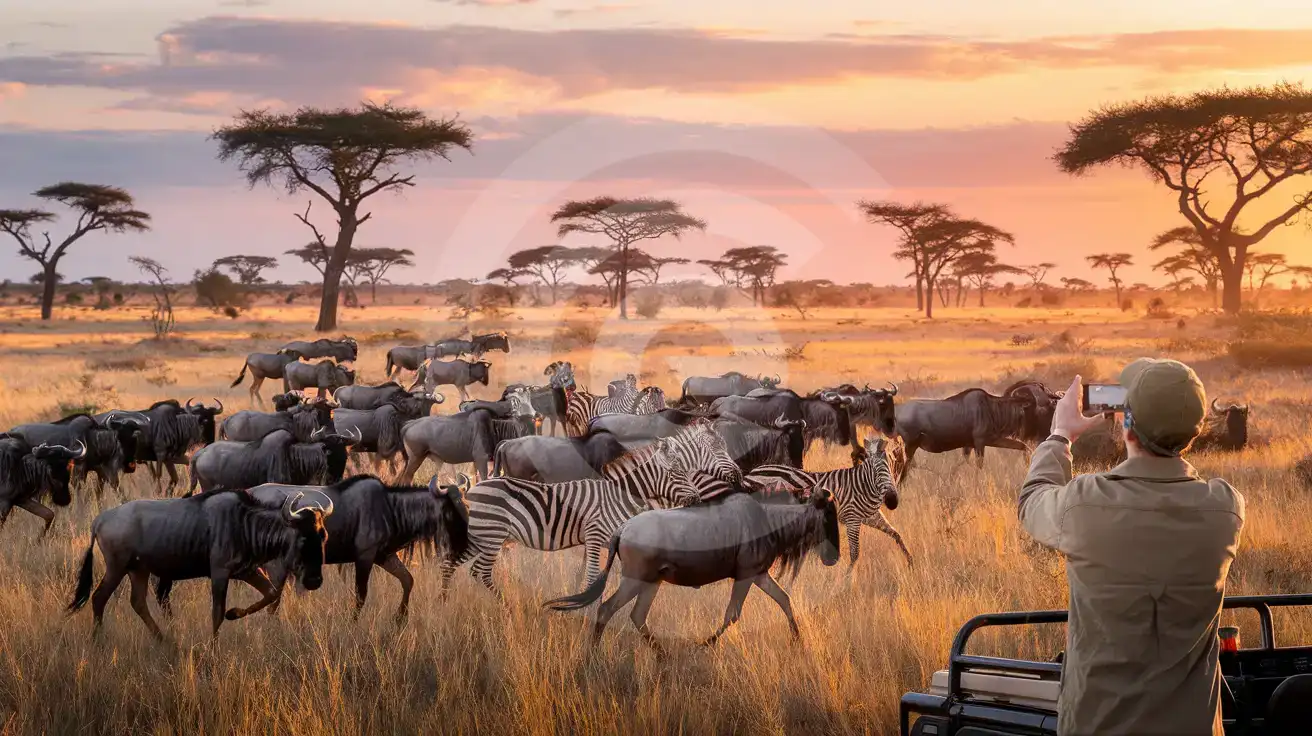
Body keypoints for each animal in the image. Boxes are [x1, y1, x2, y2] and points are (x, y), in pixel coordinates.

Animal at [745, 436, 911, 566]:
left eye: (890, 466)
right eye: (874, 470)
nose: (892, 501)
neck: (864, 486)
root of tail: (752, 473)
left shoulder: (872, 517)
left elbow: (896, 534)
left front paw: (911, 562)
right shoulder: (852, 519)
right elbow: (855, 554)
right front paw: (848, 582)